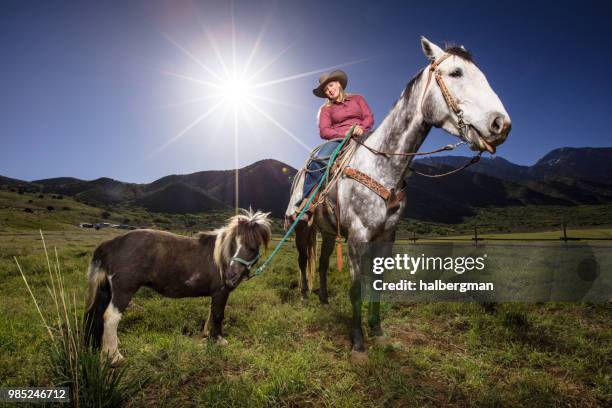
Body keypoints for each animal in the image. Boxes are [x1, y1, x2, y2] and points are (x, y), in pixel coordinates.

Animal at [290, 37, 512, 356]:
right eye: (456, 72)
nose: (501, 125)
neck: (383, 166)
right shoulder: (357, 236)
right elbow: (355, 288)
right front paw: (358, 344)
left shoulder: (387, 237)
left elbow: (378, 284)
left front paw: (378, 332)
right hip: (301, 227)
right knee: (301, 259)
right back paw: (306, 296)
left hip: (329, 232)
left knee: (319, 262)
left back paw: (323, 300)